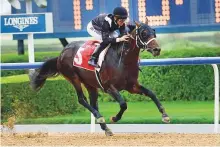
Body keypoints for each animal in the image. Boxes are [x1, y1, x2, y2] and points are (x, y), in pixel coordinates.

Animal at [29, 19, 170, 136]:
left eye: (154, 32)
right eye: (143, 33)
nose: (157, 49)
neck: (123, 60)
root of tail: (61, 53)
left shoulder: (132, 86)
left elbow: (151, 93)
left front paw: (165, 115)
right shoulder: (109, 87)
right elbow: (123, 104)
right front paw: (115, 118)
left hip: (90, 84)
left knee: (93, 103)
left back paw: (105, 127)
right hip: (74, 78)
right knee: (82, 99)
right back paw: (100, 118)